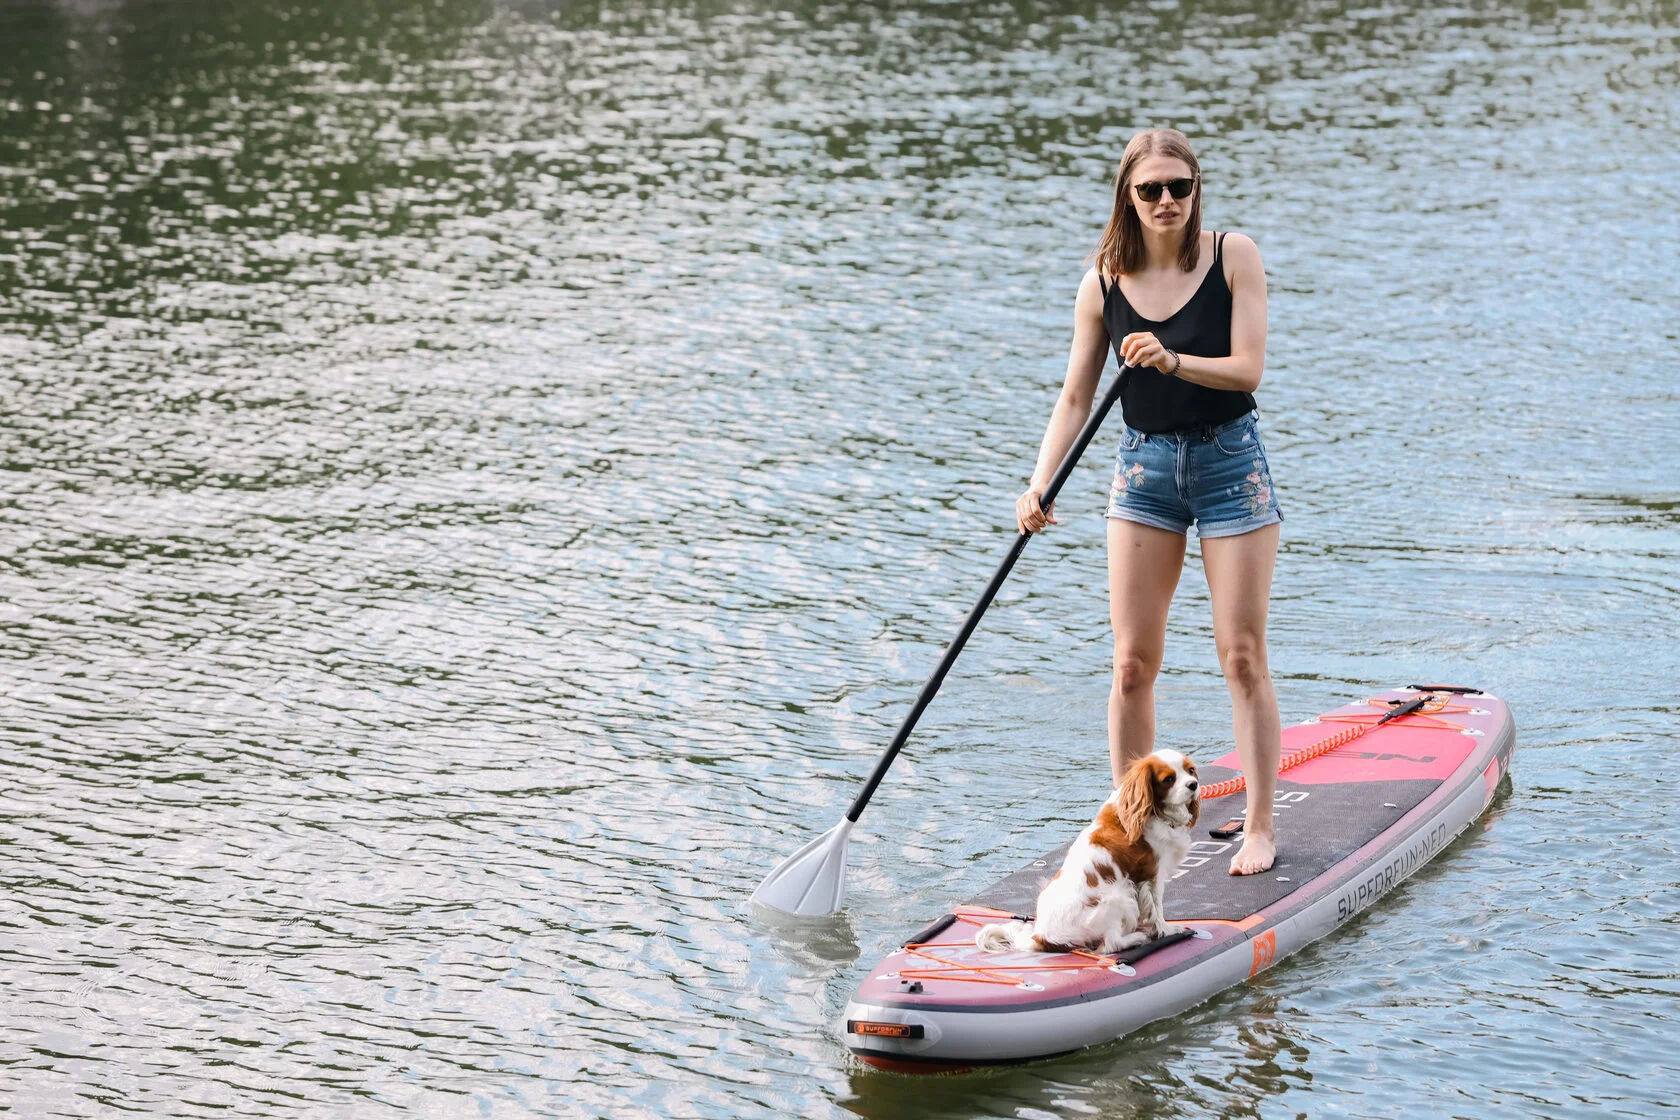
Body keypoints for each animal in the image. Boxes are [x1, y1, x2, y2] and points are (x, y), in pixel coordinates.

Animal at [975, 749, 1200, 954]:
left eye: (1190, 771)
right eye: (1169, 779)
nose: (1194, 784)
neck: (1150, 810)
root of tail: (1041, 937)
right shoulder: (1152, 874)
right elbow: (1157, 908)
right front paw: (1167, 930)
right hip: (1118, 896)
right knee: (1110, 944)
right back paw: (1136, 938)